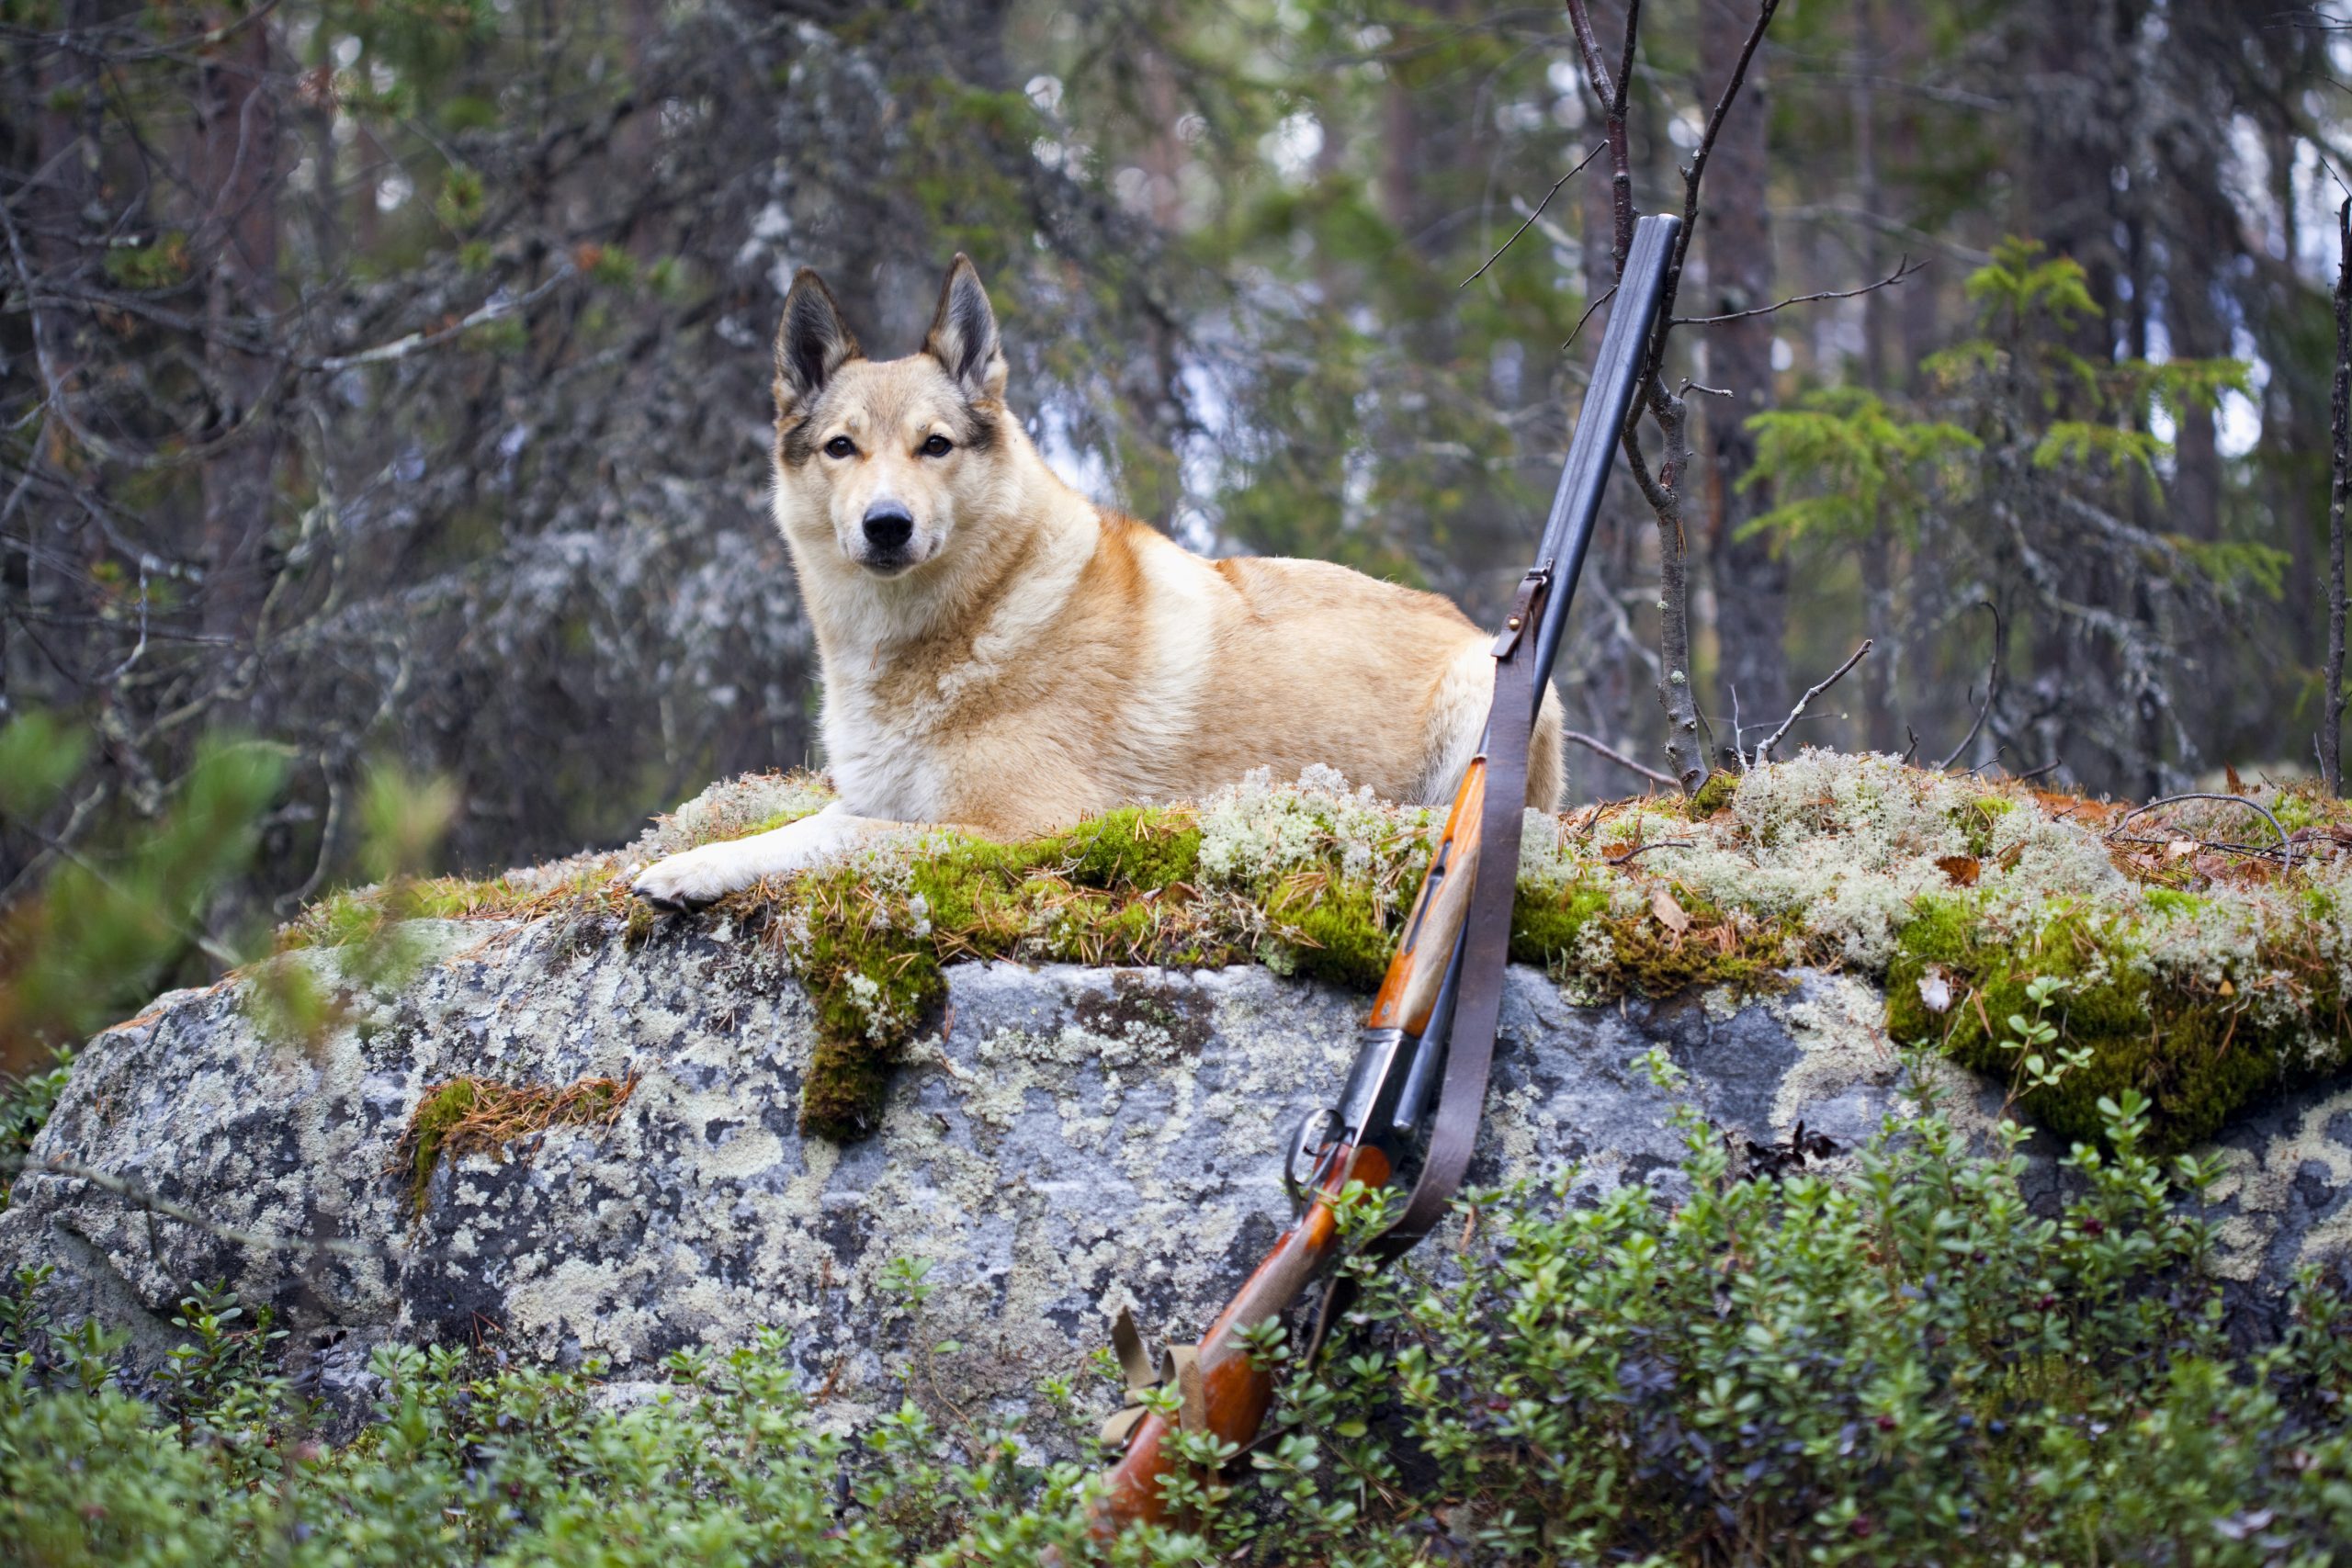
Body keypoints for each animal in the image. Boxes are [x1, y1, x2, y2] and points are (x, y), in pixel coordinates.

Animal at [625, 247, 1561, 907]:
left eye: (936, 445)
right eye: (841, 447)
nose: (886, 524)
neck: (971, 621)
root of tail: (1471, 625)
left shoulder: (1016, 829)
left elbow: (852, 840)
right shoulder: (872, 794)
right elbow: (794, 830)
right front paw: (694, 865)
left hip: (1482, 697)